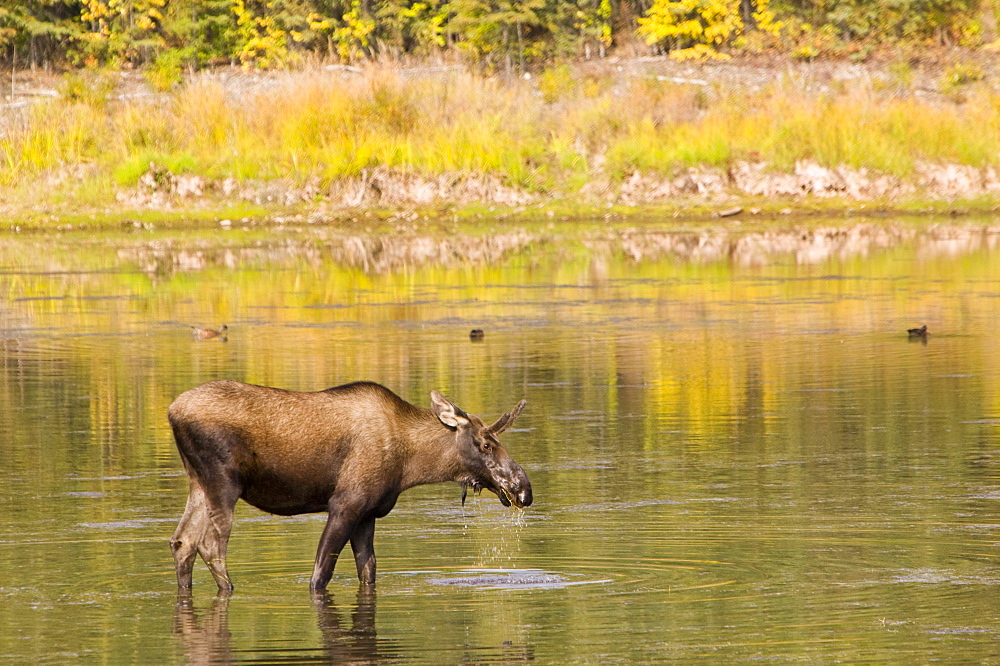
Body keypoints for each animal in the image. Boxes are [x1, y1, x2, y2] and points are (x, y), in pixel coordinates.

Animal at [170, 378, 532, 592]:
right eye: (486, 444)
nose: (523, 489)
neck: (411, 464)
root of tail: (172, 411)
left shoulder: (368, 513)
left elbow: (368, 570)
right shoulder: (346, 503)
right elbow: (321, 572)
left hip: (197, 481)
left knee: (182, 541)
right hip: (223, 481)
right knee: (210, 543)